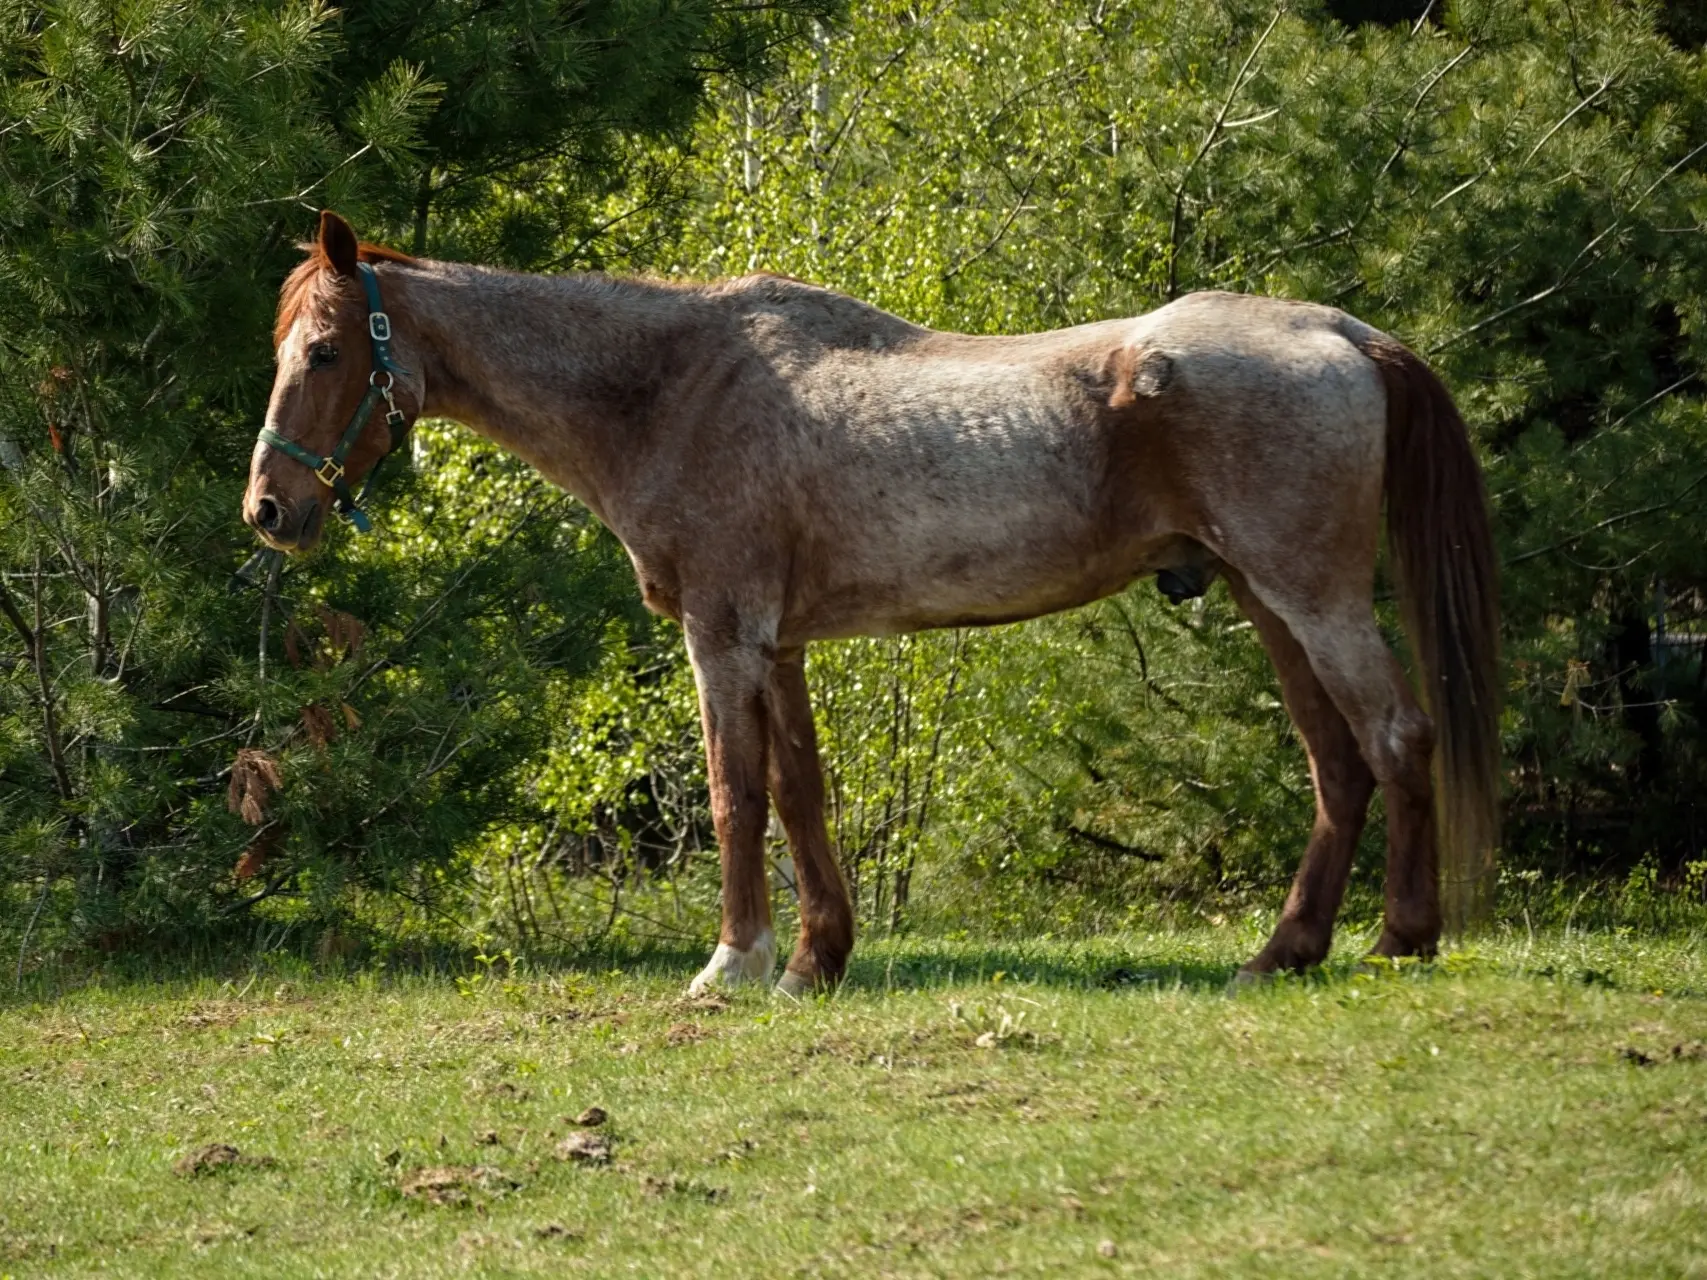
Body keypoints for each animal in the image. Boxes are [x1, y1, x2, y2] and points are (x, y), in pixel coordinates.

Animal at [240, 210, 1495, 996]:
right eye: (286, 343)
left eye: (326, 347)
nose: (267, 507)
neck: (673, 388)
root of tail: (1341, 331)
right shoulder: (781, 642)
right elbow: (803, 795)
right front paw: (815, 959)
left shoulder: (723, 635)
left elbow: (736, 792)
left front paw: (733, 962)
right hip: (1268, 600)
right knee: (1337, 766)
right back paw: (1283, 952)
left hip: (1311, 597)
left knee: (1396, 736)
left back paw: (1400, 937)